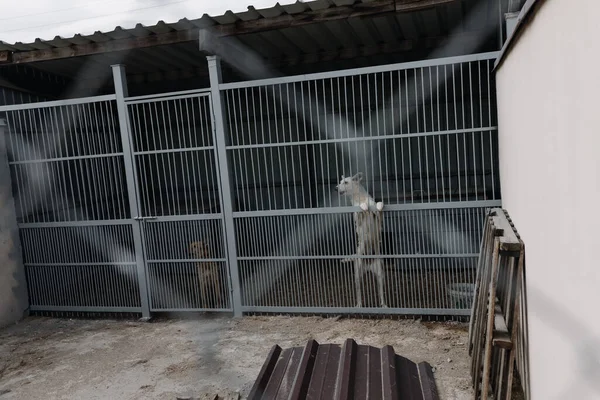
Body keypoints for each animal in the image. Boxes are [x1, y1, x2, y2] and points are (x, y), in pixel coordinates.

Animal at [336, 173, 386, 310]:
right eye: (340, 182)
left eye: (345, 182)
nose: (335, 188)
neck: (361, 198)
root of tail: (368, 265)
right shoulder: (357, 220)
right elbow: (359, 211)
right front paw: (363, 207)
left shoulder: (379, 220)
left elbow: (378, 206)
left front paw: (379, 205)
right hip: (357, 275)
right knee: (358, 293)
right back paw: (358, 305)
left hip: (380, 275)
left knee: (381, 292)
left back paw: (384, 305)